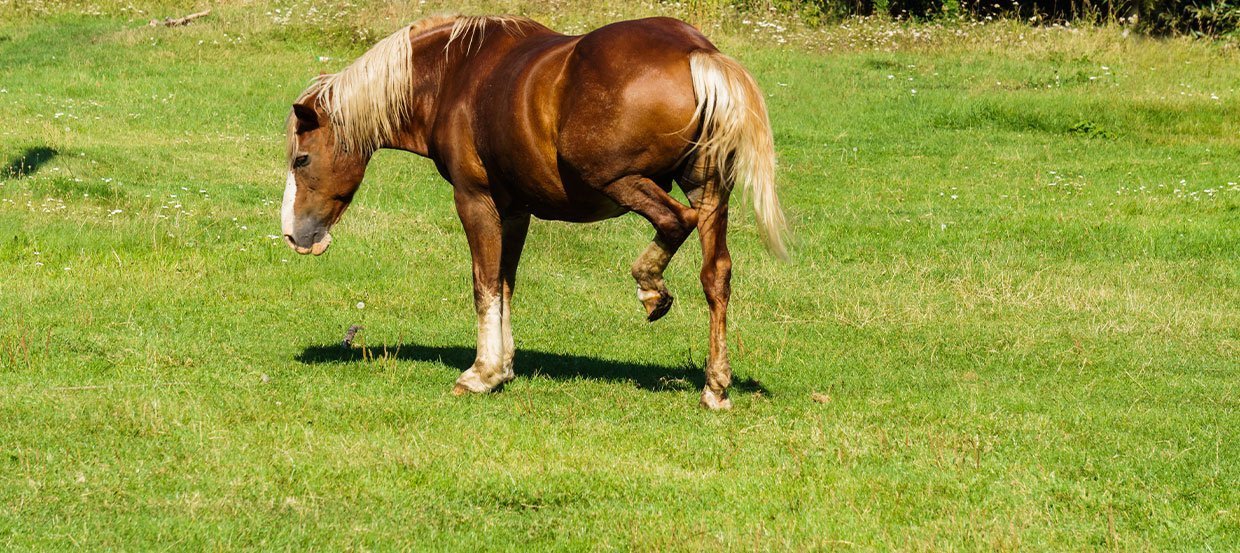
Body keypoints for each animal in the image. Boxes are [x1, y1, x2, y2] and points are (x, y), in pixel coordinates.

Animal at [281, 14, 783, 411]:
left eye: (301, 159)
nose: (293, 235)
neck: (453, 75)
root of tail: (697, 51)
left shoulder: (475, 200)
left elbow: (484, 284)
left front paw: (481, 373)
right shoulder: (514, 212)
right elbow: (505, 283)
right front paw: (503, 367)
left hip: (621, 181)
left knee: (675, 222)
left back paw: (651, 288)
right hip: (708, 190)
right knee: (715, 276)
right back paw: (715, 386)